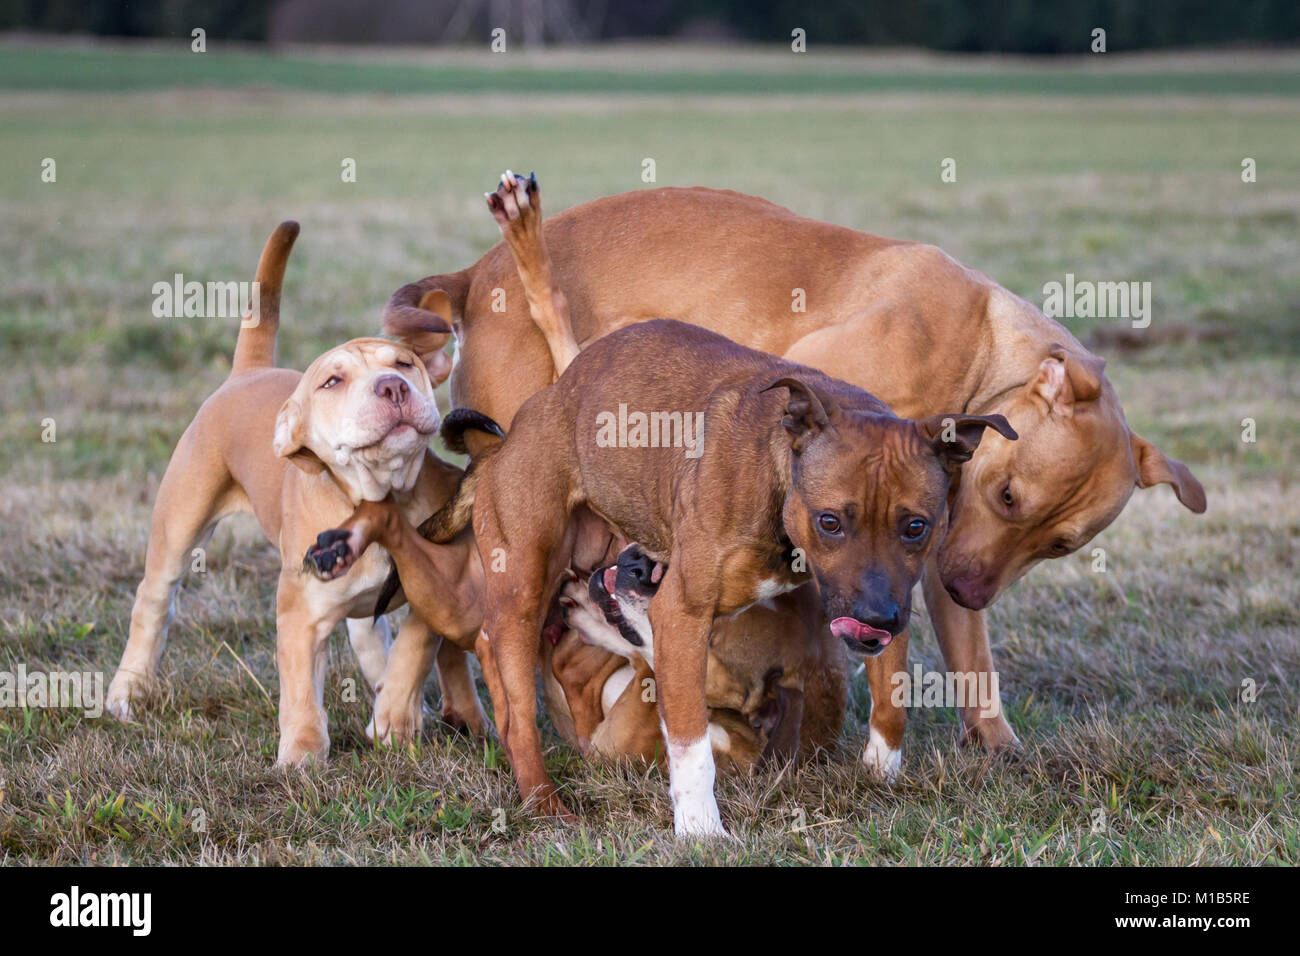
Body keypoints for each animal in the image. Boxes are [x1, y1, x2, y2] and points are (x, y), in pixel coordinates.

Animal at [102, 221, 488, 764]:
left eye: (405, 363)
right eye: (332, 381)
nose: (392, 387)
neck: (378, 493)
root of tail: (247, 372)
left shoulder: (440, 585)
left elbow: (413, 645)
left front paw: (394, 716)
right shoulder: (301, 615)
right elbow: (302, 689)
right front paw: (303, 755)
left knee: (373, 641)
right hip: (178, 528)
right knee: (152, 603)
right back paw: (127, 691)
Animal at [382, 178, 1206, 780]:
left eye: (1059, 545)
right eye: (1008, 496)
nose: (972, 589)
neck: (979, 349)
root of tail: (473, 277)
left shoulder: (924, 554)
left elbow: (961, 661)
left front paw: (979, 747)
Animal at [405, 321, 1013, 837]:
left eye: (916, 526)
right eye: (830, 521)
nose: (872, 619)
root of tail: (518, 427)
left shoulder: (889, 604)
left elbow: (891, 699)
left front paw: (880, 772)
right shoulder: (682, 618)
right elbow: (691, 742)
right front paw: (700, 829)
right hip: (524, 585)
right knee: (513, 698)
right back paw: (542, 798)